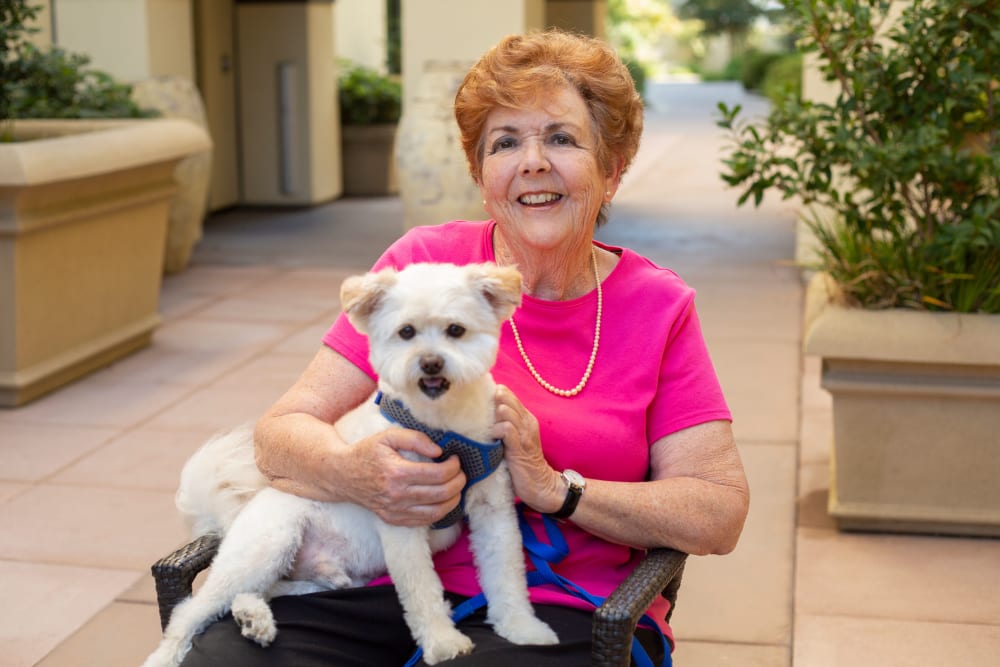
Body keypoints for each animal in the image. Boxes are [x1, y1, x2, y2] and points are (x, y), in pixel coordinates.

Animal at [144, 264, 560, 667]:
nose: (430, 363)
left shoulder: (494, 510)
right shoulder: (402, 515)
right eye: (406, 332)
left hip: (312, 574)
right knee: (191, 609)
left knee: (267, 592)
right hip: (267, 544)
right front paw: (443, 642)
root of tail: (236, 517)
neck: (442, 427)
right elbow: (422, 591)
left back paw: (253, 618)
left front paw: (522, 627)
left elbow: (506, 575)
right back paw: (169, 653)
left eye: (455, 330)